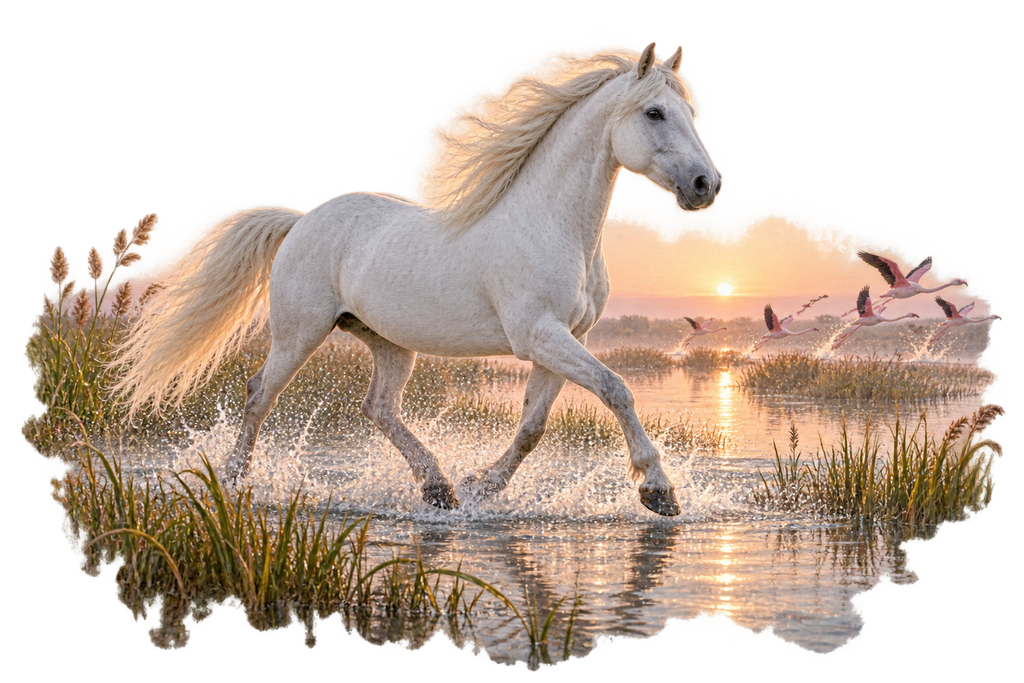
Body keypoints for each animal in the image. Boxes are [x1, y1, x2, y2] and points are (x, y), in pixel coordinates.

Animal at [108, 41, 723, 517]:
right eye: (654, 113)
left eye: (687, 114)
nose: (704, 185)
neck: (553, 225)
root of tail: (301, 222)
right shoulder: (539, 335)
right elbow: (617, 389)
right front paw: (660, 492)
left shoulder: (566, 338)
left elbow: (532, 426)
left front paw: (481, 487)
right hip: (299, 332)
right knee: (261, 394)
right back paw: (235, 481)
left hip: (388, 343)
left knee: (378, 408)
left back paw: (439, 488)